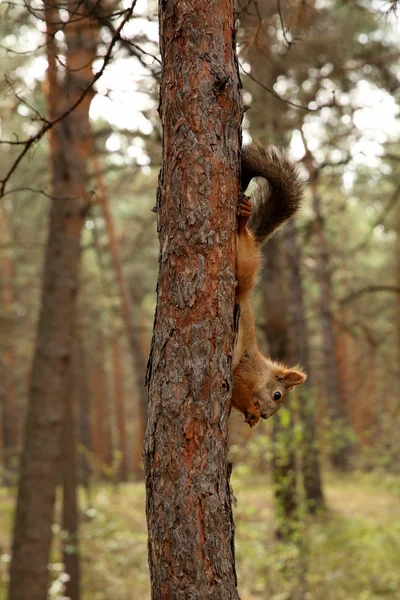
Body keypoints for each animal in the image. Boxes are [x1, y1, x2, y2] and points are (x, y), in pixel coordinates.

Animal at [231, 142, 306, 426]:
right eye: (277, 395)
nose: (264, 416)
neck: (262, 372)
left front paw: (249, 417)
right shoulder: (244, 373)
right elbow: (238, 391)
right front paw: (251, 411)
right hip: (244, 265)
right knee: (242, 241)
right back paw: (243, 221)